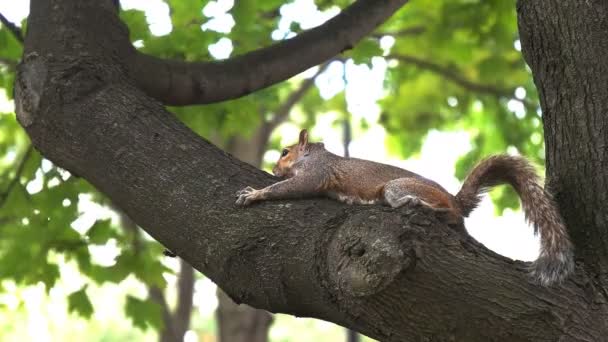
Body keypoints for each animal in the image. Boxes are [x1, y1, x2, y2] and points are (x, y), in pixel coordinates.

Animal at [236, 129, 576, 286]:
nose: (273, 167)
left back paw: (417, 204)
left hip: (396, 187)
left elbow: (290, 188)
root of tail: (455, 200)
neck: (315, 156)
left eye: (285, 151)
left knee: (440, 212)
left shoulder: (316, 175)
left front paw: (254, 193)